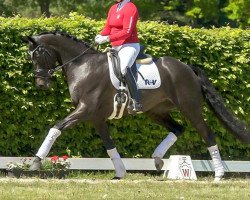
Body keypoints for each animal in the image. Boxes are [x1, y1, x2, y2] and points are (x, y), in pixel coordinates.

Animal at [22, 31, 249, 181]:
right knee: (178, 129)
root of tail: (187, 67)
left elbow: (56, 128)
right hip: (156, 111)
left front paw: (36, 162)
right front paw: (120, 173)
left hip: (190, 108)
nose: (41, 84)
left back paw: (218, 174)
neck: (83, 66)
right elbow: (109, 144)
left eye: (37, 55)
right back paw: (157, 160)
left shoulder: (85, 110)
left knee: (207, 134)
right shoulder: (96, 117)